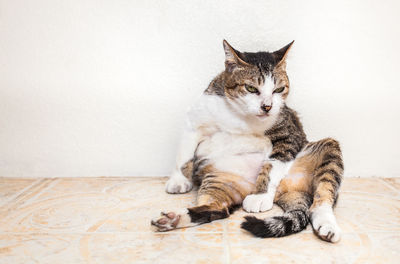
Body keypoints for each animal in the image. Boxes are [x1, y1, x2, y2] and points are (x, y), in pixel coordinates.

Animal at [150, 39, 344, 243]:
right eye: (251, 88)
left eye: (278, 89)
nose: (267, 106)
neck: (239, 116)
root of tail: (287, 192)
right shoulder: (194, 121)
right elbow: (184, 154)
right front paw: (178, 180)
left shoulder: (289, 135)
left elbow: (272, 165)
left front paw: (259, 196)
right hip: (219, 178)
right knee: (218, 209)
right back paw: (173, 219)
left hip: (328, 149)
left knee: (322, 198)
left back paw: (327, 226)